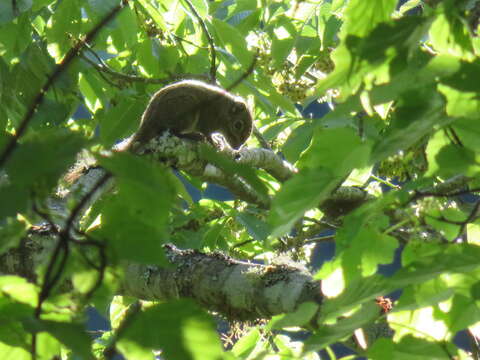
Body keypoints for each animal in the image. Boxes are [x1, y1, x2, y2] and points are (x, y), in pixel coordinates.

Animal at [127, 79, 255, 151]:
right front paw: (213, 141)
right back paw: (193, 135)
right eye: (238, 125)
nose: (237, 147)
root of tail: (148, 121)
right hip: (186, 112)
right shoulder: (207, 117)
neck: (223, 110)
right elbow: (206, 132)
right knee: (173, 132)